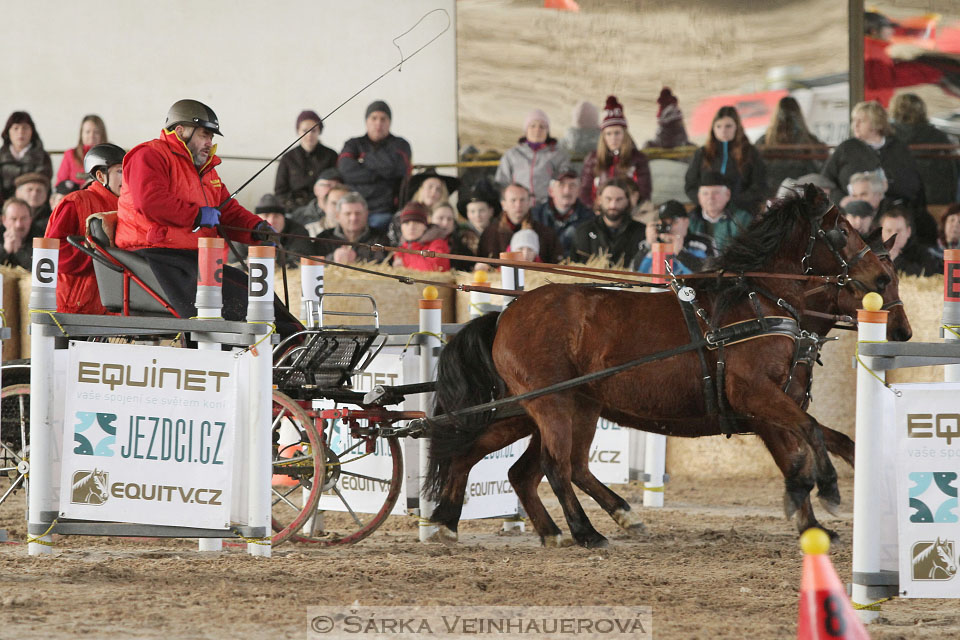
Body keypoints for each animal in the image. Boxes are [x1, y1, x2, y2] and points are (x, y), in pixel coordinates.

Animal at [424, 184, 896, 544]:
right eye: (841, 232)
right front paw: (829, 490)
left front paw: (815, 518)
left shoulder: (770, 407)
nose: (881, 280)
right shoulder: (755, 396)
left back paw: (466, 522)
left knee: (504, 462)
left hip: (547, 408)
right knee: (554, 467)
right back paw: (585, 532)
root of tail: (507, 313)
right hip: (551, 405)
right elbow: (810, 434)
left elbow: (812, 448)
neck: (757, 303)